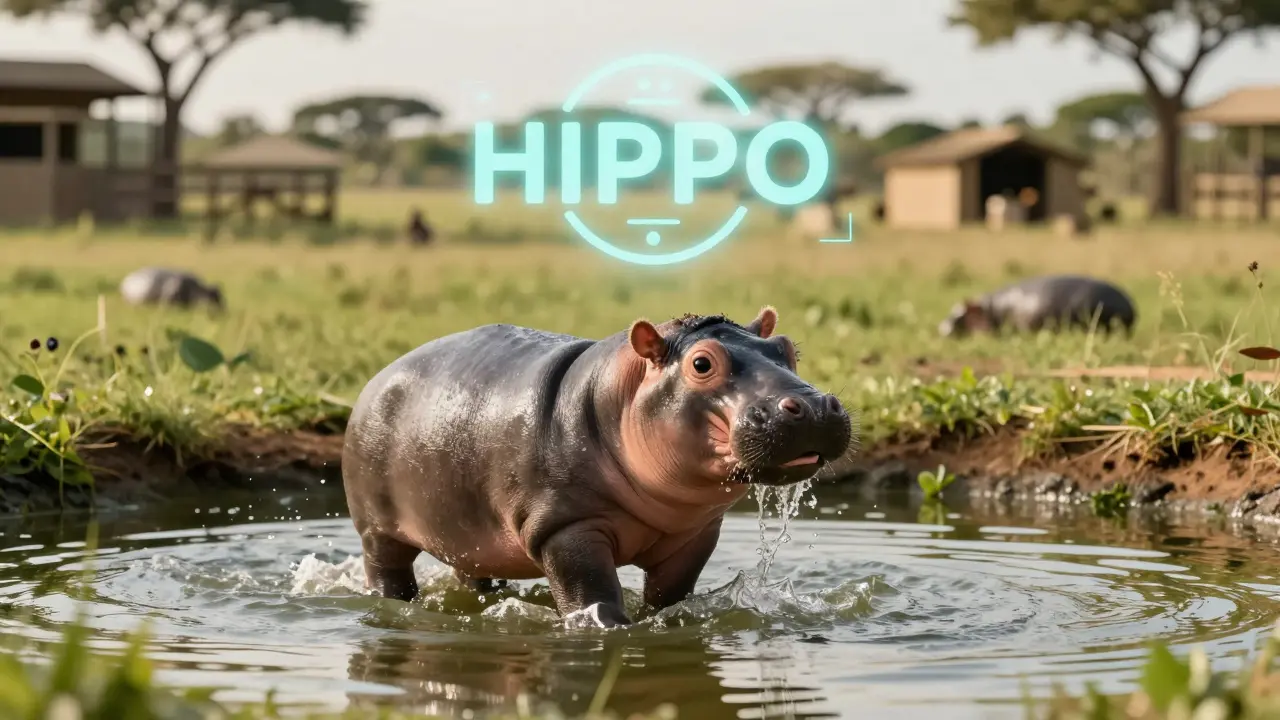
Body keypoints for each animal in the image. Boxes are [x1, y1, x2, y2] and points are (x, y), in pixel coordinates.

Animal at [342, 307, 853, 628]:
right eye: (702, 363)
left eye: (787, 349)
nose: (813, 406)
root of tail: (377, 376)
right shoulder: (566, 528)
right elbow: (592, 594)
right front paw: (608, 629)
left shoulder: (694, 535)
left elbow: (671, 596)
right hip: (376, 530)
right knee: (387, 569)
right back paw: (395, 603)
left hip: (467, 530)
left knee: (471, 569)